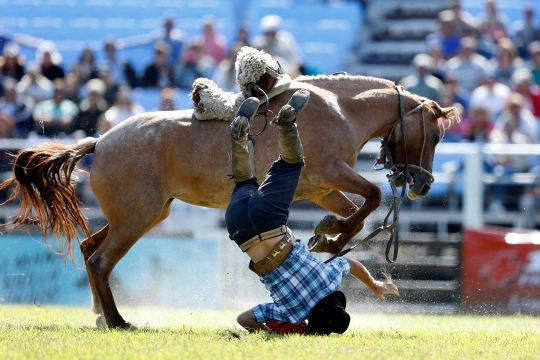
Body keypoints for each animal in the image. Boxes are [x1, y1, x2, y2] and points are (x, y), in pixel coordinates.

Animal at [0, 74, 460, 328]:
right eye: (434, 135)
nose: (422, 185)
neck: (340, 108)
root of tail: (101, 140)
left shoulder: (320, 188)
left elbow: (357, 217)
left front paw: (333, 239)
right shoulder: (328, 175)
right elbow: (374, 196)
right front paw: (331, 237)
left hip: (139, 216)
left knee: (88, 249)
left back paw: (100, 313)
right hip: (136, 220)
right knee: (99, 261)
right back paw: (116, 321)